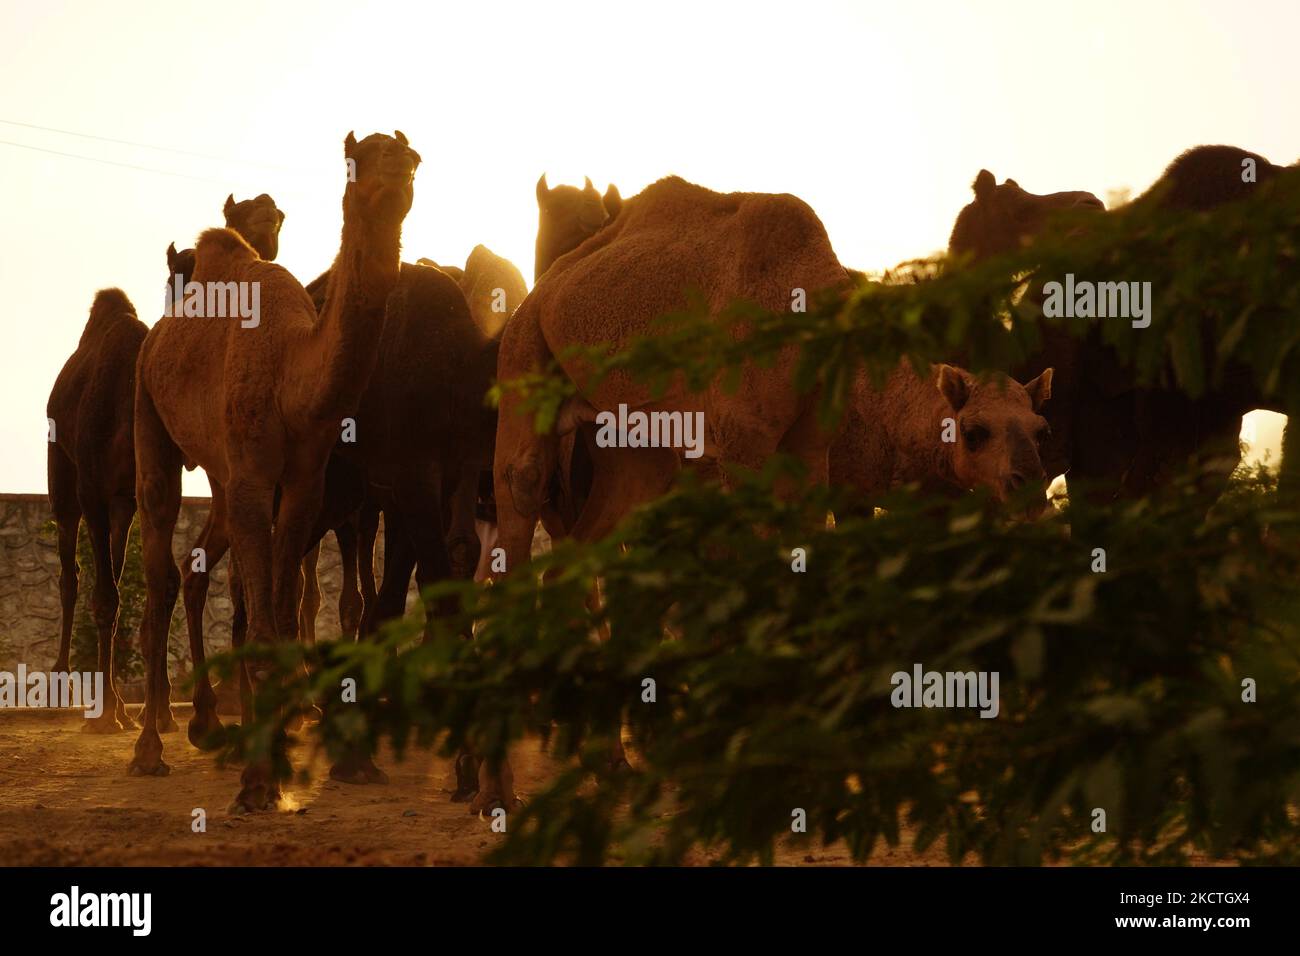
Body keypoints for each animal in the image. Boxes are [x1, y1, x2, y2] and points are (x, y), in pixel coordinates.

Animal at [130, 130, 421, 811]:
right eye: (356, 160)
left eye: (409, 155)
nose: (401, 168)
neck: (293, 373)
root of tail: (157, 335)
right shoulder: (254, 477)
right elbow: (262, 620)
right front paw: (258, 784)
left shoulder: (304, 484)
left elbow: (284, 614)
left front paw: (281, 761)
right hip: (148, 415)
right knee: (159, 561)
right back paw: (151, 747)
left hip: (217, 466)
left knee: (194, 565)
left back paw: (206, 725)